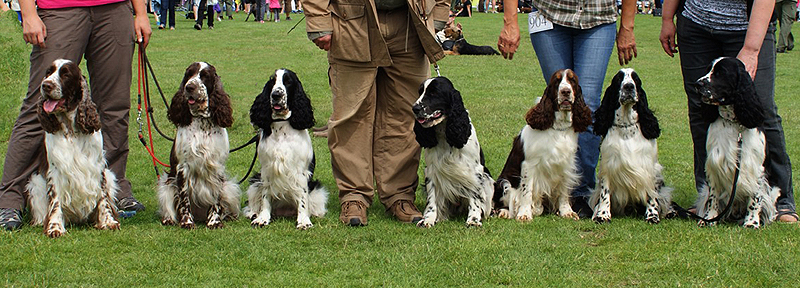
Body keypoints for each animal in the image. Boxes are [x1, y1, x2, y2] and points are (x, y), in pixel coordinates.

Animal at [247, 68, 328, 230]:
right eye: (272, 81)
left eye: (288, 81)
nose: (276, 95)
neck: (281, 126)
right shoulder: (267, 169)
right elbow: (265, 196)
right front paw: (262, 218)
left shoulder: (301, 171)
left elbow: (302, 198)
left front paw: (303, 221)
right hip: (255, 181)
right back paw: (253, 213)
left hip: (317, 190)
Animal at [412, 76, 494, 227]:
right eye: (420, 92)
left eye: (434, 93)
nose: (414, 108)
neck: (444, 133)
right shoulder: (431, 170)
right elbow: (432, 199)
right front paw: (428, 219)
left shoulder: (475, 171)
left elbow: (475, 195)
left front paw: (473, 220)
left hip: (487, 179)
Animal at [588, 68, 676, 224]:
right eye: (619, 79)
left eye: (635, 79)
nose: (629, 86)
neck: (626, 127)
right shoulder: (608, 165)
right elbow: (605, 194)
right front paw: (602, 215)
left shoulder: (649, 167)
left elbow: (652, 195)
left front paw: (652, 215)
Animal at [692, 57, 780, 228]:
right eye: (708, 69)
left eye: (720, 73)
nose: (697, 84)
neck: (733, 122)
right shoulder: (713, 165)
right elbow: (713, 198)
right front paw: (709, 219)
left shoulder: (756, 168)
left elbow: (755, 198)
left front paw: (751, 222)